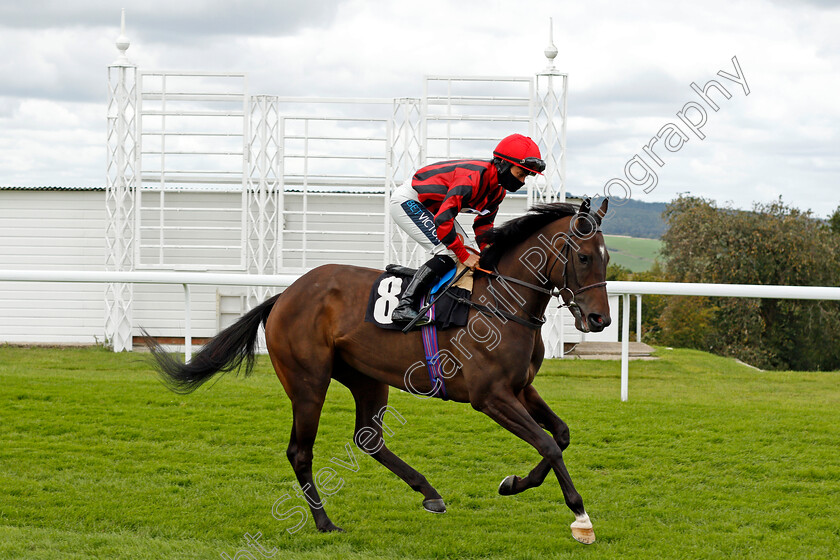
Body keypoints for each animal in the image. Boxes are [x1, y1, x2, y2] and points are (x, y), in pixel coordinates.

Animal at [148, 197, 612, 544]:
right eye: (583, 256)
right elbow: (548, 444)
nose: (600, 320)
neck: (500, 301)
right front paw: (581, 519)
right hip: (308, 381)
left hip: (366, 377)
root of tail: (285, 294)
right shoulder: (490, 397)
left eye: (607, 259)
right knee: (301, 451)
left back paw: (430, 494)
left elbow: (560, 436)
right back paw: (325, 522)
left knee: (368, 439)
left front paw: (513, 482)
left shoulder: (520, 389)